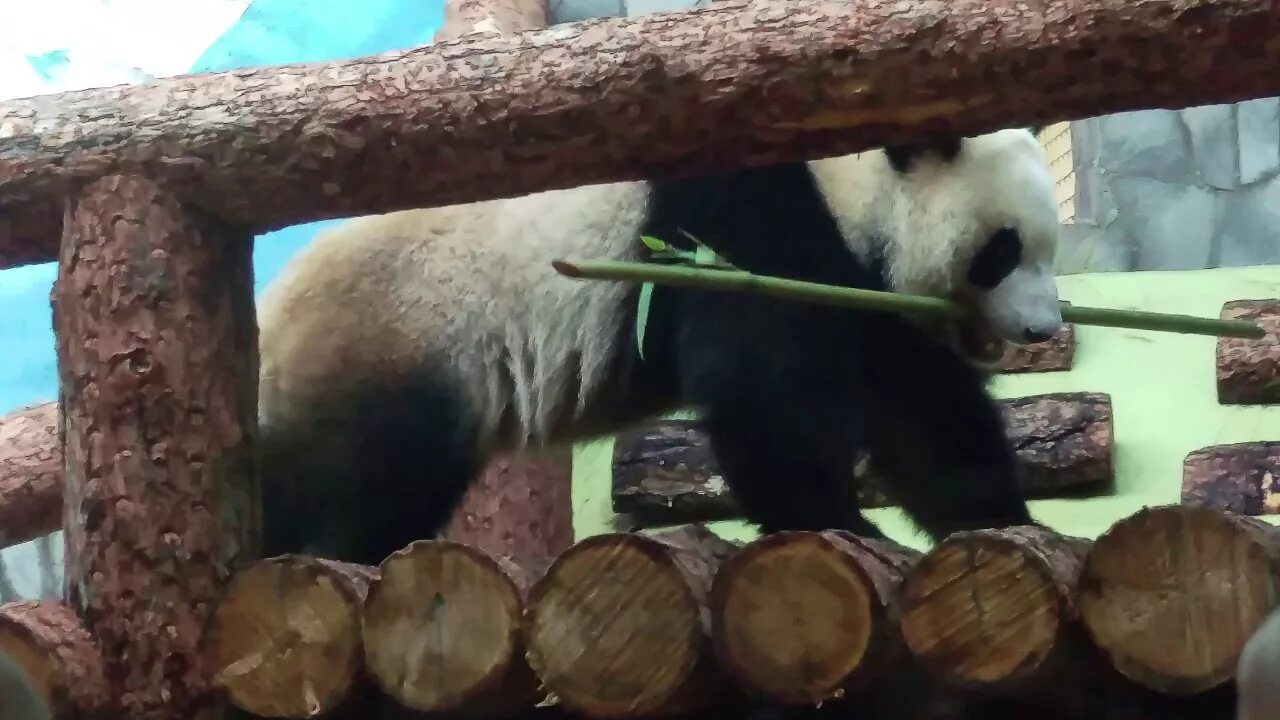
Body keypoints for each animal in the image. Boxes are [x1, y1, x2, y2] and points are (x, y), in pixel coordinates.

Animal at [254, 122, 1064, 563]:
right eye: (1002, 250)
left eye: (1047, 246)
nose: (1044, 330)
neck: (840, 173)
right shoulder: (740, 216)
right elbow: (761, 384)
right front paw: (840, 519)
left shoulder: (867, 298)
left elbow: (921, 406)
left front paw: (1006, 517)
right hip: (399, 338)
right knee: (370, 477)